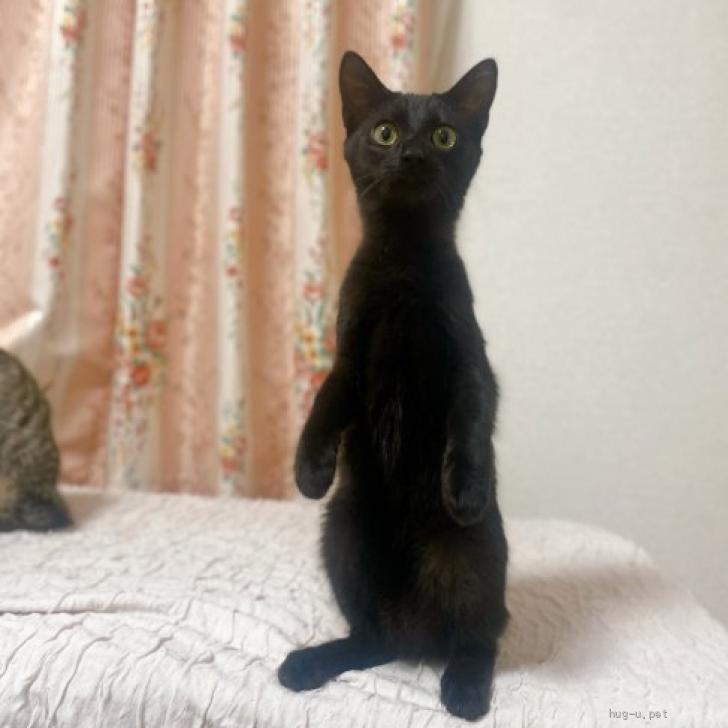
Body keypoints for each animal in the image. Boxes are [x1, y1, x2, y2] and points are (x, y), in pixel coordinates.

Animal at [278, 51, 508, 721]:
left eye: (444, 136)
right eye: (384, 131)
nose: (411, 153)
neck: (404, 265)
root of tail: (417, 628)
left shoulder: (470, 362)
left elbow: (472, 417)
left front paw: (465, 486)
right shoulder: (350, 356)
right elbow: (324, 403)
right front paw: (309, 469)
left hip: (475, 554)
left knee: (482, 632)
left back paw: (464, 689)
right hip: (343, 534)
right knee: (373, 638)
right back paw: (309, 663)